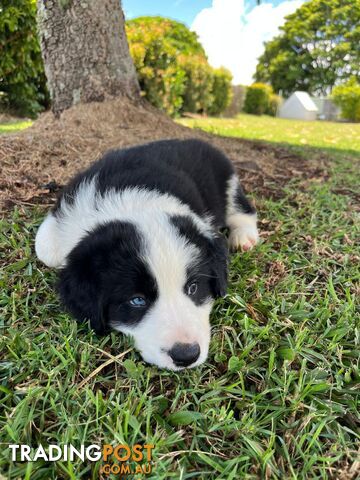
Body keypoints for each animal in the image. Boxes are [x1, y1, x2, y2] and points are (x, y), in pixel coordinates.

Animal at [35, 139, 258, 372]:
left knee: (242, 207)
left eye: (193, 288)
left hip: (225, 179)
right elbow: (45, 248)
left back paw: (244, 237)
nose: (186, 355)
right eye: (137, 300)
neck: (132, 206)